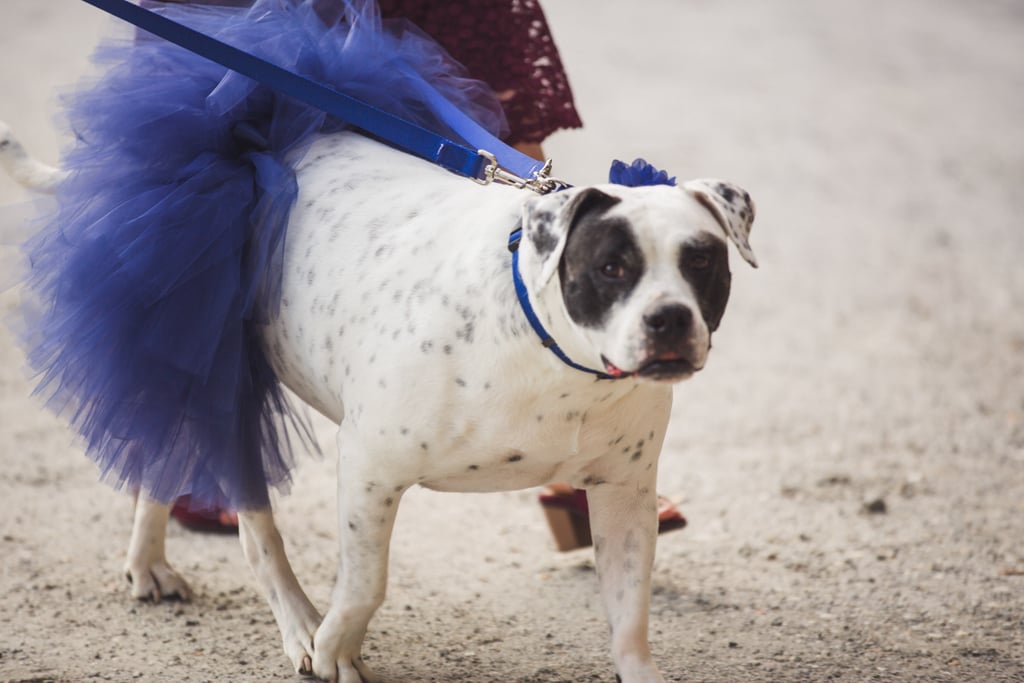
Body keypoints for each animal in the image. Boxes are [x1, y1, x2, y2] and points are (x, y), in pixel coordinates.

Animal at [0, 124, 757, 683]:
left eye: (702, 261)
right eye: (612, 267)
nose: (669, 319)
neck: (550, 352)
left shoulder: (624, 495)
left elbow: (629, 613)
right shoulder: (370, 467)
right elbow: (366, 581)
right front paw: (335, 649)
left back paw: (152, 560)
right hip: (223, 368)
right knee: (252, 525)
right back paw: (298, 621)